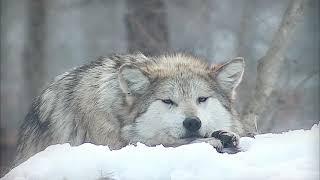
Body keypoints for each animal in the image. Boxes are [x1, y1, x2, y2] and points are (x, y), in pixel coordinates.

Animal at [13, 52, 246, 167]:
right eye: (168, 101)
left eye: (202, 99)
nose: (192, 122)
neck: (119, 112)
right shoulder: (114, 145)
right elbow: (166, 143)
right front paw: (211, 140)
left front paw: (224, 134)